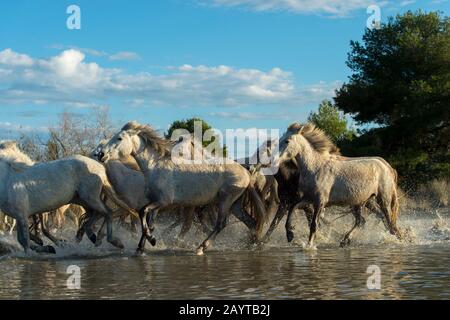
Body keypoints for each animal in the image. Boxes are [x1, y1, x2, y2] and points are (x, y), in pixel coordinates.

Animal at [0, 140, 133, 252]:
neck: (7, 179)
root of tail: (100, 167)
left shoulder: (22, 215)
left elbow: (25, 241)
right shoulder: (19, 216)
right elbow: (23, 238)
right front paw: (47, 247)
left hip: (90, 198)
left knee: (107, 212)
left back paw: (113, 241)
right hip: (82, 200)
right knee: (94, 215)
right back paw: (90, 236)